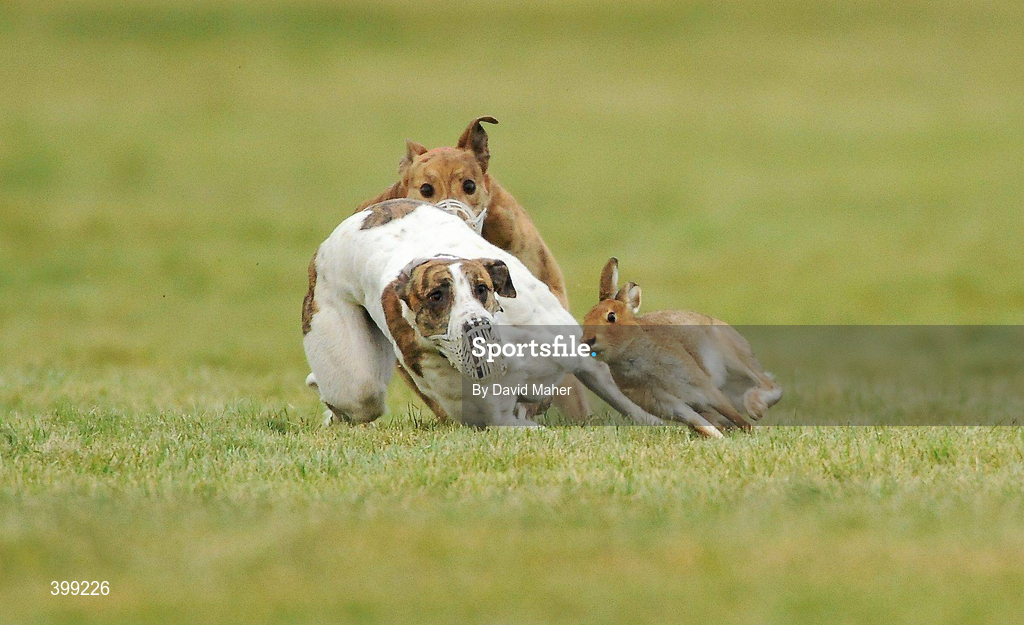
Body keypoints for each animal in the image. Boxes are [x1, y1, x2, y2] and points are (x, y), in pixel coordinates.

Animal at [581, 258, 782, 437]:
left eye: (611, 317)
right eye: (586, 318)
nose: (587, 340)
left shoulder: (704, 388)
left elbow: (732, 414)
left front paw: (751, 431)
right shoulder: (672, 406)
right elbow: (703, 425)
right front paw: (720, 439)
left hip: (734, 354)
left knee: (770, 385)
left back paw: (755, 406)